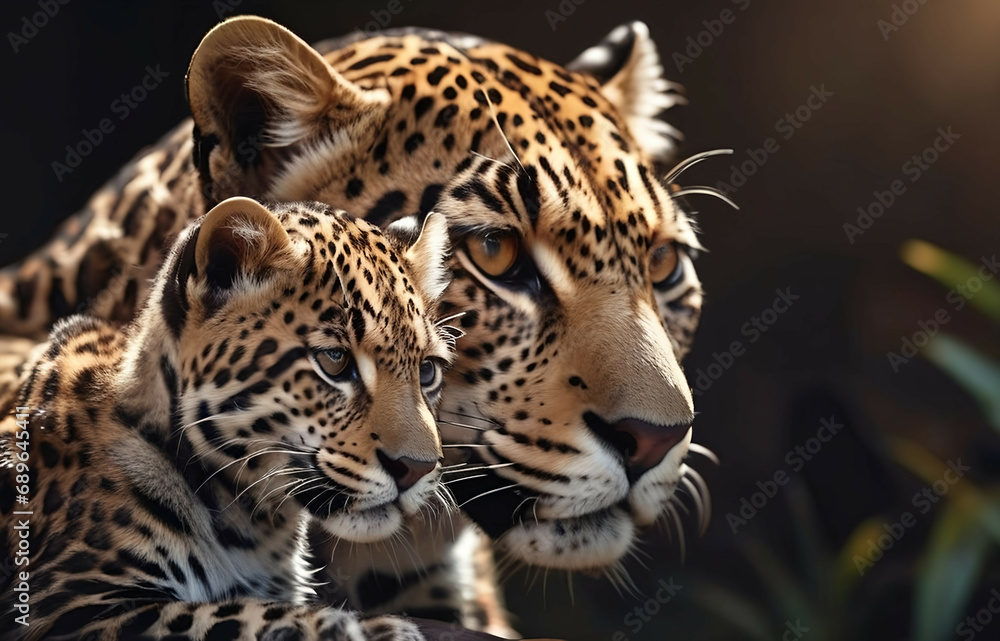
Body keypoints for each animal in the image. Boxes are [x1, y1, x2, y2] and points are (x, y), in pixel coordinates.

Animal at [0, 197, 458, 640]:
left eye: (427, 371)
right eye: (334, 360)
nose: (416, 469)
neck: (257, 528)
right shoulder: (68, 606)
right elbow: (228, 614)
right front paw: (369, 628)